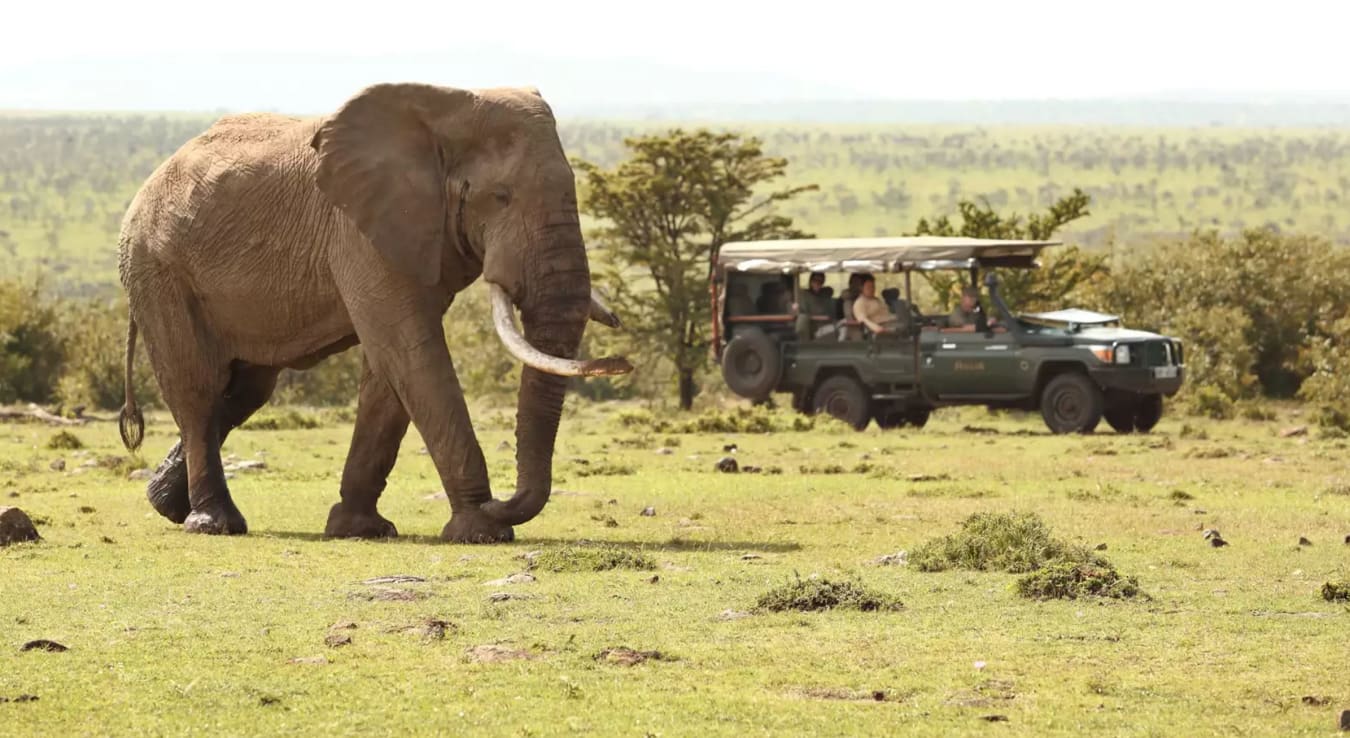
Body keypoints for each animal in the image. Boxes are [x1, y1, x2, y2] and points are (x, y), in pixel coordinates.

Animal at [115, 82, 632, 543]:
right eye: (500, 197)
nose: (621, 362)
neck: (447, 107)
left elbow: (389, 370)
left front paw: (360, 530)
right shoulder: (360, 233)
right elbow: (411, 353)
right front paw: (482, 530)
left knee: (244, 393)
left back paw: (165, 504)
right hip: (158, 268)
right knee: (198, 388)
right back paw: (213, 523)